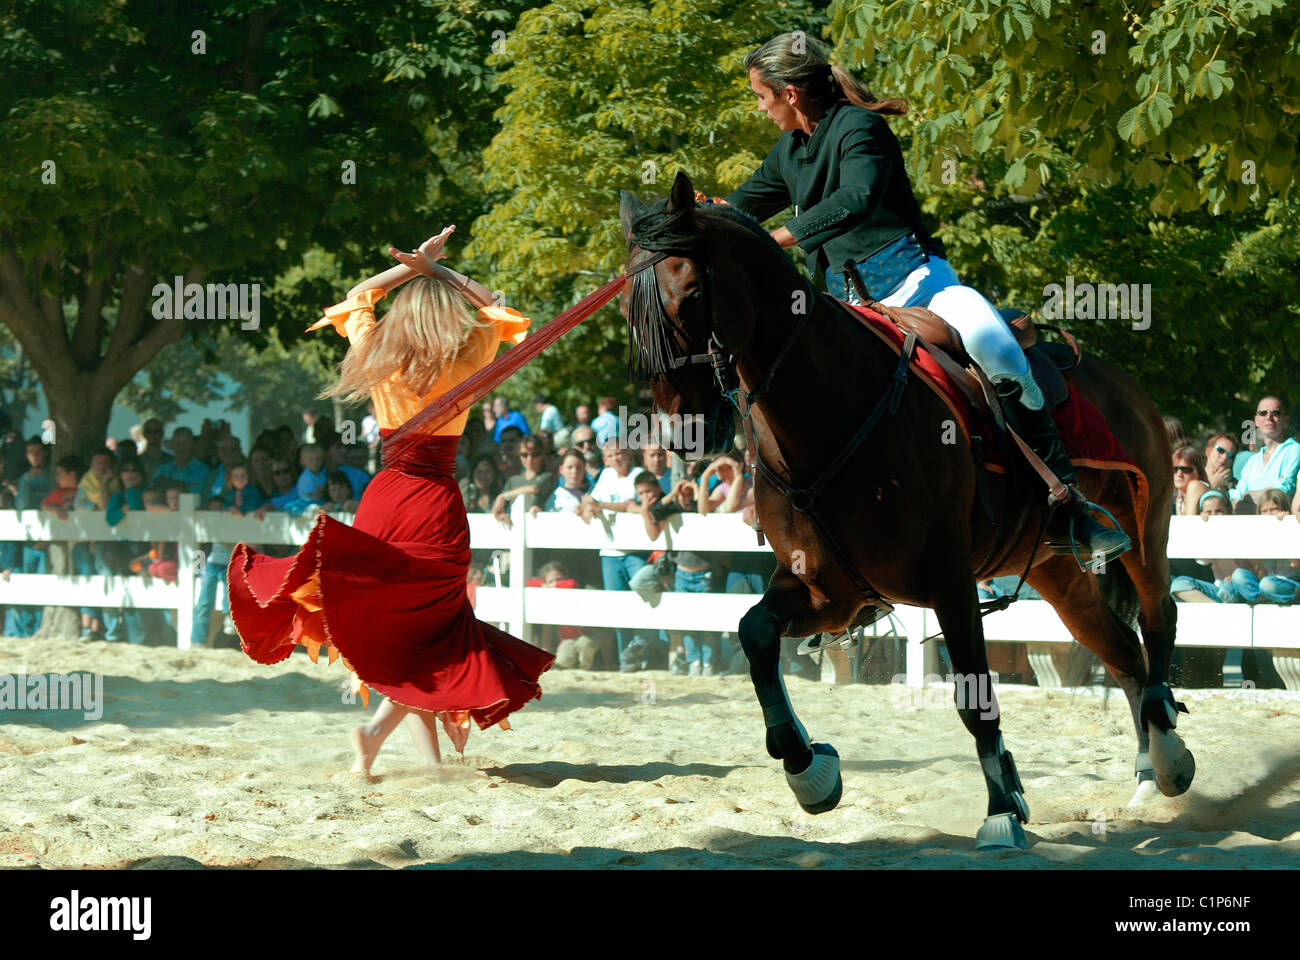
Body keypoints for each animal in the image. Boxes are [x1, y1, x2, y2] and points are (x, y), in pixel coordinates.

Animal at [618, 171, 1196, 842]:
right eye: (628, 309)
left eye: (689, 294)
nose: (683, 433)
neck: (830, 409)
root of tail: (1121, 381)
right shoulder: (827, 591)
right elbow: (755, 634)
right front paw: (808, 768)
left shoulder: (949, 582)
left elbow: (974, 696)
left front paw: (1002, 809)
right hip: (1059, 573)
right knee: (1121, 650)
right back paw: (1150, 771)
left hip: (1143, 531)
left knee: (1157, 620)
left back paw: (1168, 753)